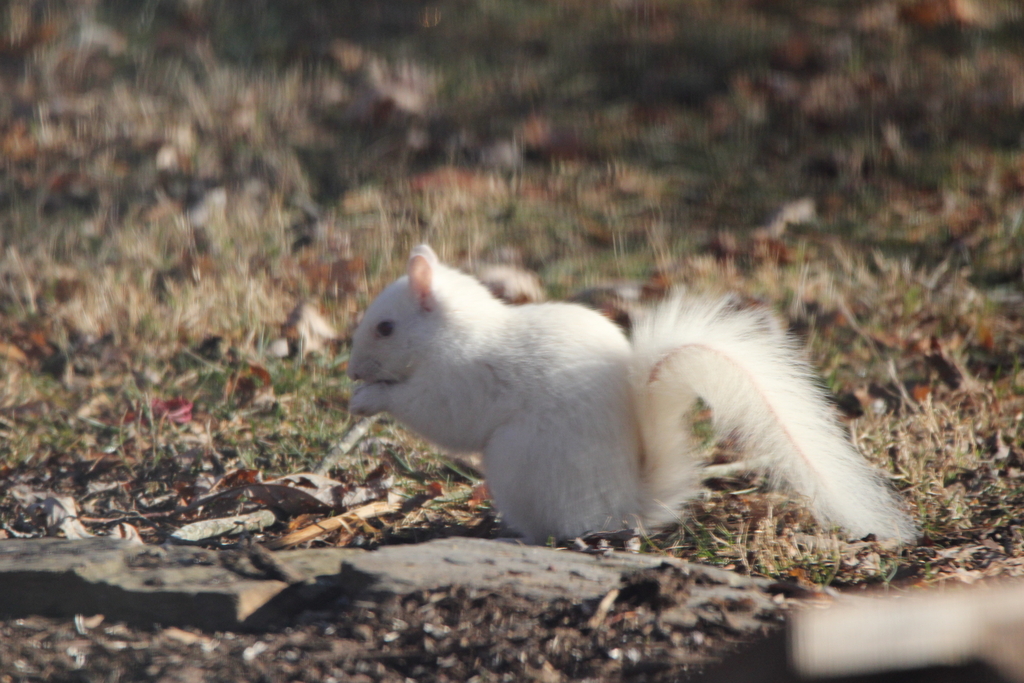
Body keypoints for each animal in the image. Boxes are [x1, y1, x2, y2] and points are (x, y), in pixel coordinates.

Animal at [348, 244, 917, 544]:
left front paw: (369, 400)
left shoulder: (464, 383)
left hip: (519, 467)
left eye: (385, 328)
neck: (458, 335)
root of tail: (626, 510)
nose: (352, 370)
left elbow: (438, 415)